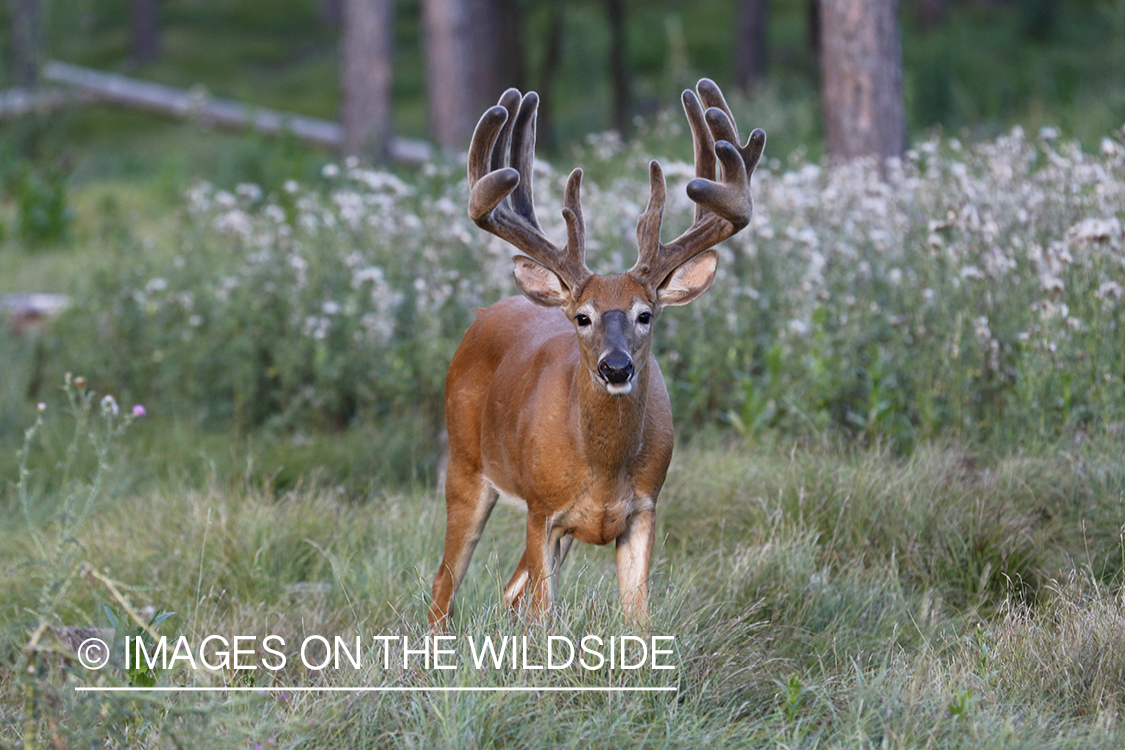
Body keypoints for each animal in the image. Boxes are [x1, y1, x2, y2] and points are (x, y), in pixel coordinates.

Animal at [429, 77, 765, 629]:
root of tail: (482, 313)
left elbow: (638, 618)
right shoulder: (542, 509)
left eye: (645, 314)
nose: (616, 367)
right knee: (446, 582)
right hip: (465, 462)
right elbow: (544, 616)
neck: (604, 472)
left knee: (508, 590)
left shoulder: (644, 509)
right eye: (582, 317)